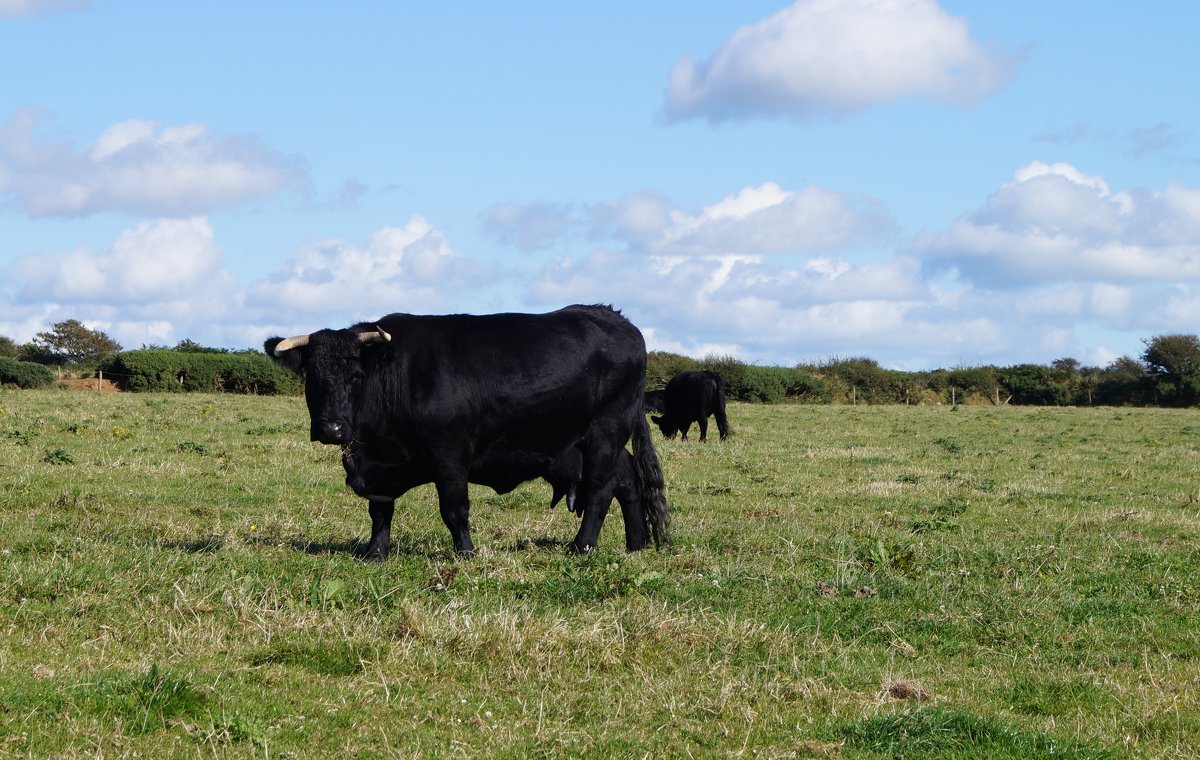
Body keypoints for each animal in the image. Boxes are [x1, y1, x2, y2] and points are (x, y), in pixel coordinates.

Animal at [264, 302, 672, 557]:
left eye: (355, 376)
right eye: (312, 378)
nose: (331, 428)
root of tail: (616, 318)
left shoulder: (450, 457)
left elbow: (454, 509)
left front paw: (466, 552)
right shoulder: (380, 467)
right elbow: (380, 512)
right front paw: (374, 552)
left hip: (606, 431)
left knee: (601, 489)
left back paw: (581, 547)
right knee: (628, 480)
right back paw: (636, 544)